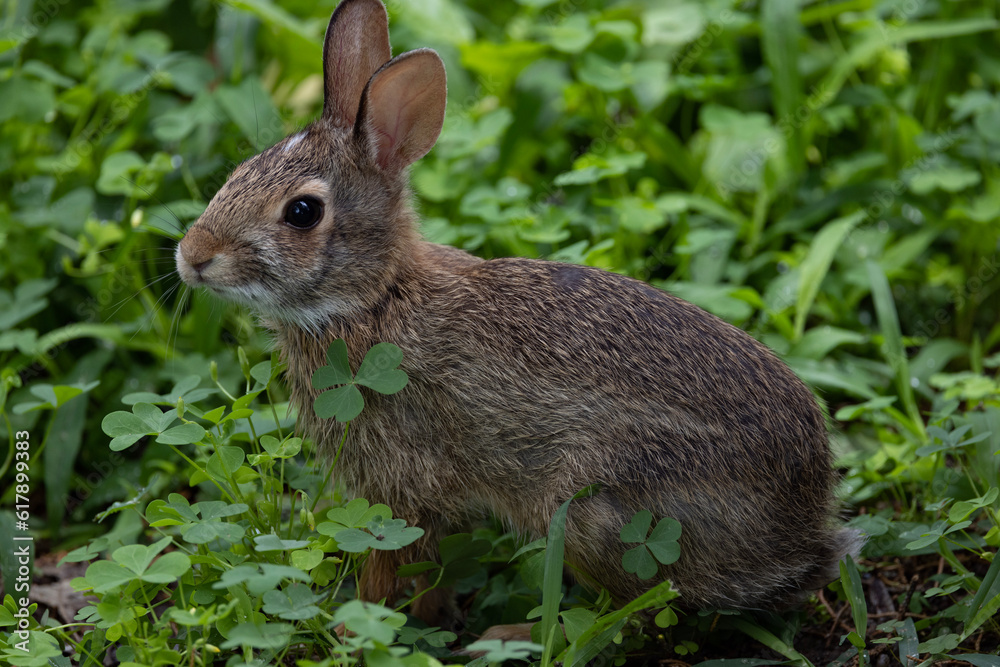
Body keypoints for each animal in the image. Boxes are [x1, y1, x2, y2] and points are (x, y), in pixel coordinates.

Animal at [176, 0, 861, 630]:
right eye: (240, 171)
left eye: (302, 213)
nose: (192, 256)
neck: (376, 297)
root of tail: (799, 535)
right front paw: (424, 616)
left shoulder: (401, 484)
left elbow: (386, 561)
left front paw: (356, 624)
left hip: (595, 511)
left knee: (636, 614)